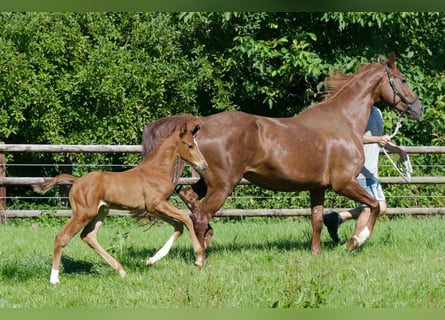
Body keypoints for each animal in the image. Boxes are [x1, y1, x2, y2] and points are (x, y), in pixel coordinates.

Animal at [33, 119, 207, 284]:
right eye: (190, 145)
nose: (204, 165)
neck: (156, 170)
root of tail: (77, 181)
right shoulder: (157, 204)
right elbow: (186, 219)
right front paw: (199, 259)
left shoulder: (153, 208)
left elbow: (179, 225)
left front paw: (151, 260)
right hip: (83, 213)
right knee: (62, 237)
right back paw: (54, 279)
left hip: (101, 211)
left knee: (88, 236)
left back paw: (121, 271)